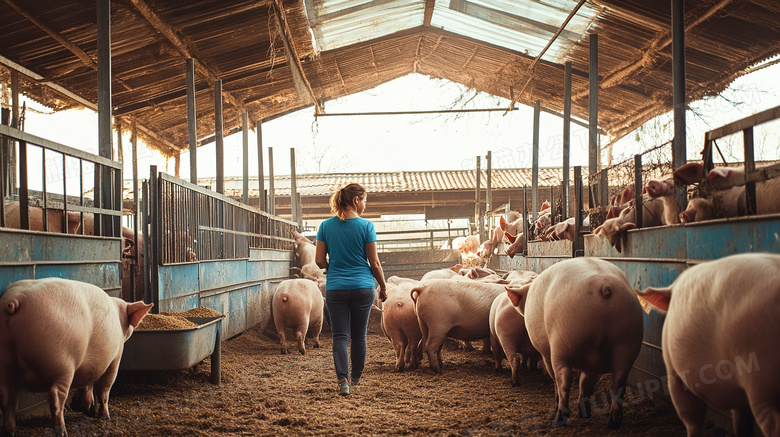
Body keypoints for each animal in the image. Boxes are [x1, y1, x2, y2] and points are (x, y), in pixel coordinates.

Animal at [0, 278, 152, 434]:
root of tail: (14, 301)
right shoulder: (115, 358)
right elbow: (104, 389)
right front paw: (105, 417)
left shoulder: (88, 366)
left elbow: (87, 384)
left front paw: (88, 409)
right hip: (62, 362)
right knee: (56, 397)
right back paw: (62, 432)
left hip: (4, 360)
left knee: (7, 398)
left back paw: (9, 431)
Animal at [508, 258, 644, 428]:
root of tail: (604, 287)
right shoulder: (591, 363)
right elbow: (585, 381)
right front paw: (584, 413)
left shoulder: (546, 354)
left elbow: (556, 378)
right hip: (628, 338)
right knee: (619, 381)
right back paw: (613, 422)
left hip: (562, 339)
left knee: (563, 380)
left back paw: (559, 418)